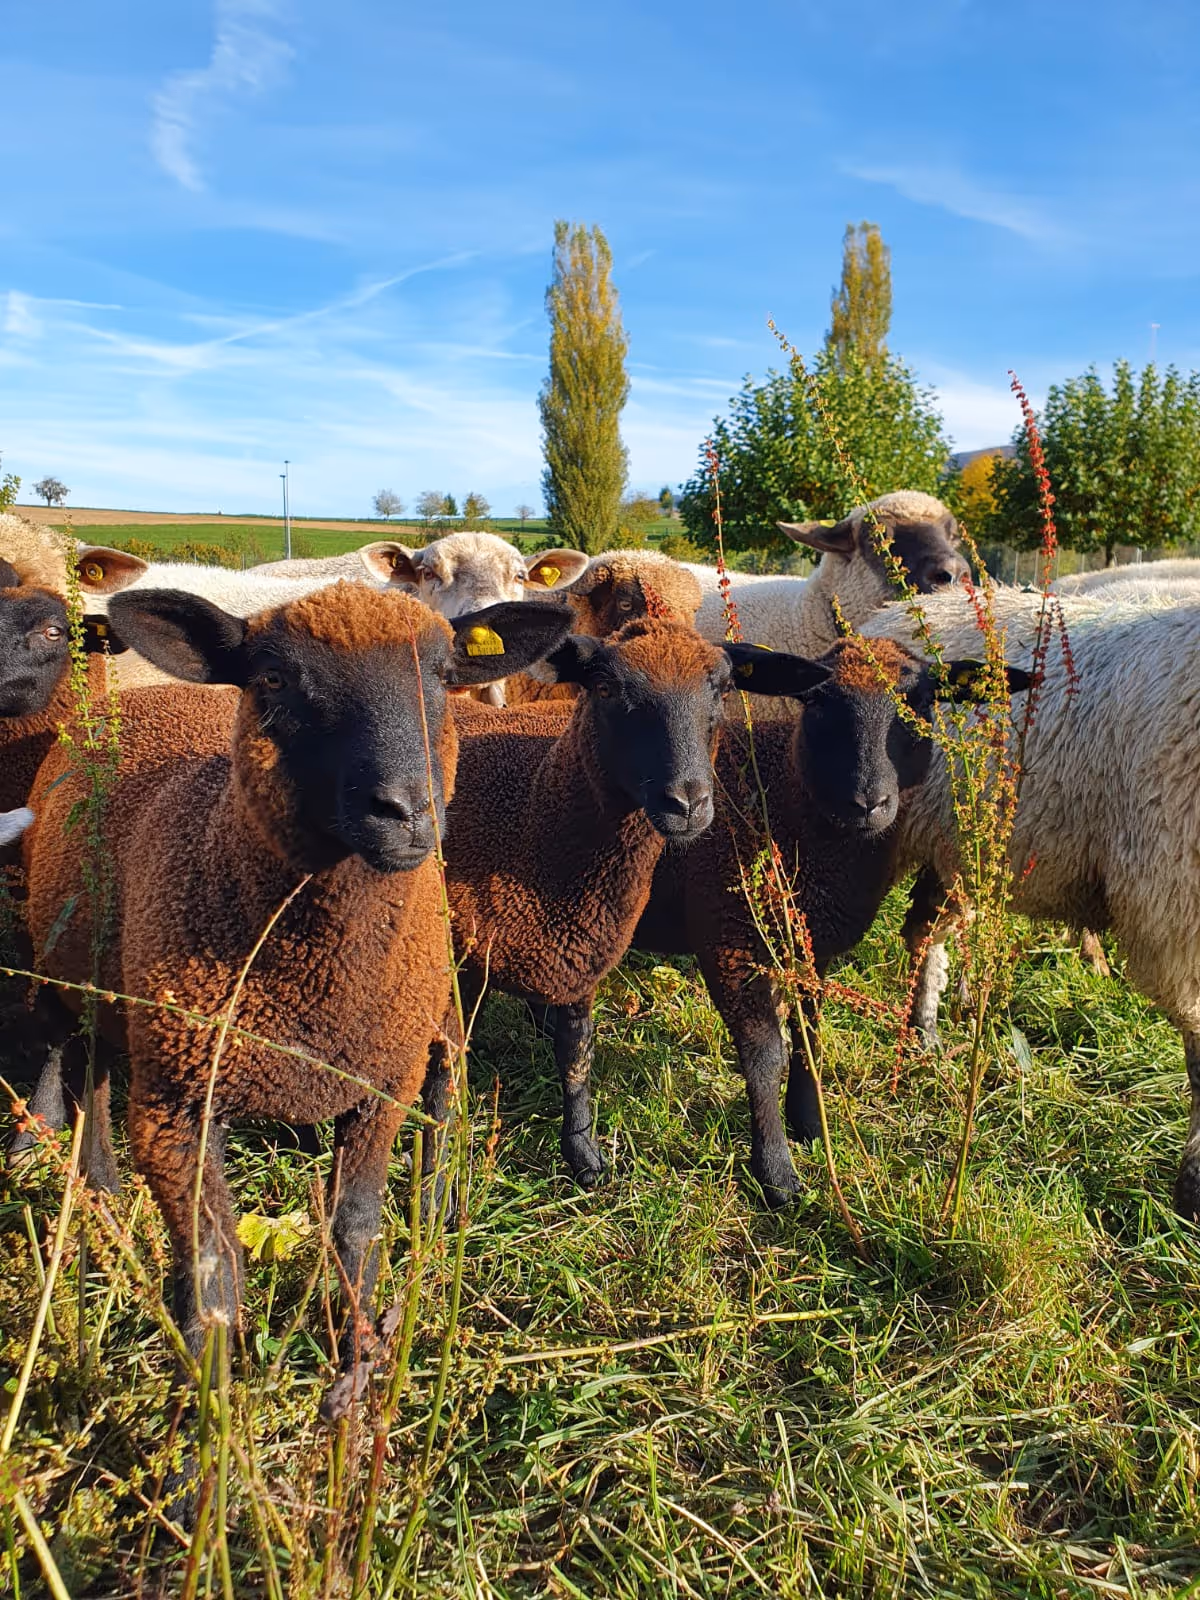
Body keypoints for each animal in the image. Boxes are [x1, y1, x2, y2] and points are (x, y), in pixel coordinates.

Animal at [22, 582, 576, 1435]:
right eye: (274, 681)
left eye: (445, 674)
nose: (406, 811)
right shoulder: (179, 1104)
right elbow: (211, 1270)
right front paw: (210, 1437)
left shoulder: (381, 1084)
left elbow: (356, 1230)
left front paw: (350, 1378)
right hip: (71, 979)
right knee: (77, 1070)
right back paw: (99, 1200)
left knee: (96, 1075)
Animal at [419, 619, 831, 1195]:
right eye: (607, 689)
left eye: (724, 689)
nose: (688, 804)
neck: (532, 819)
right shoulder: (456, 961)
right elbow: (443, 1083)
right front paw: (433, 1189)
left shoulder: (580, 949)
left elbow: (576, 1054)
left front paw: (583, 1154)